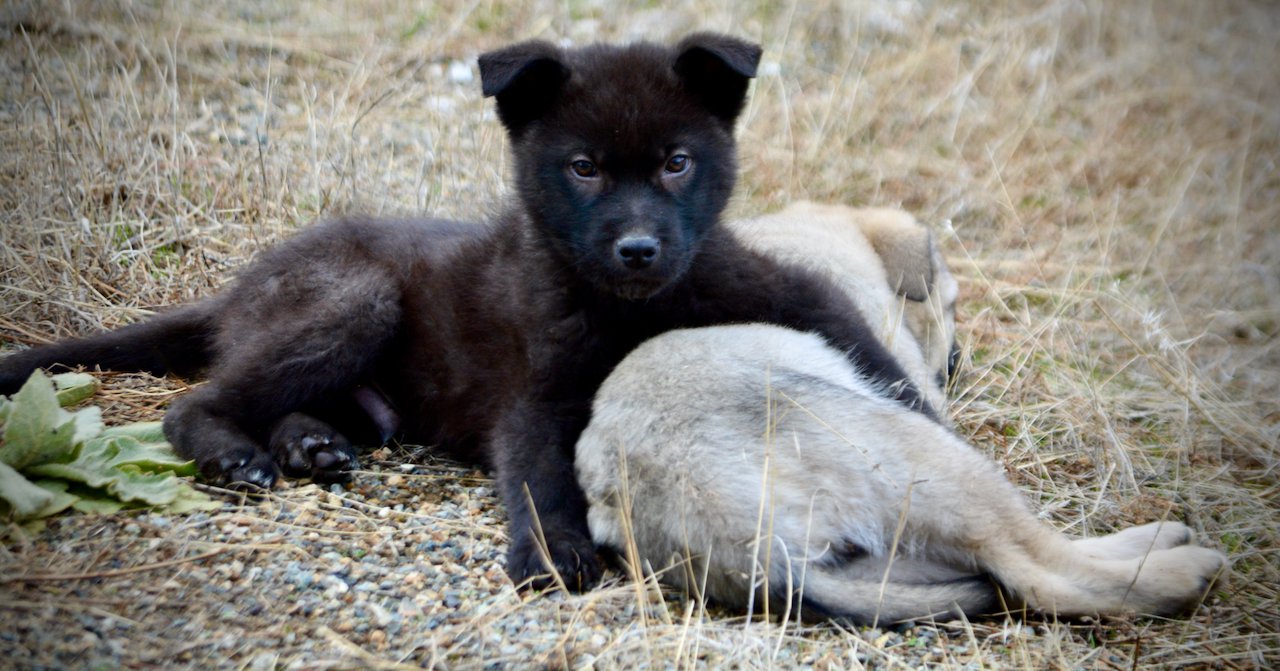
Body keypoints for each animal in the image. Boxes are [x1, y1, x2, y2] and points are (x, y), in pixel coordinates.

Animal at [5, 34, 936, 589]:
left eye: (678, 162)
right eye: (584, 167)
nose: (638, 249)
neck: (624, 306)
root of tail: (238, 287)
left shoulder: (769, 286)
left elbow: (859, 338)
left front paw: (919, 416)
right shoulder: (538, 390)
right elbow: (537, 471)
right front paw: (553, 550)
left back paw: (308, 444)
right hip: (356, 297)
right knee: (199, 400)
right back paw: (238, 455)